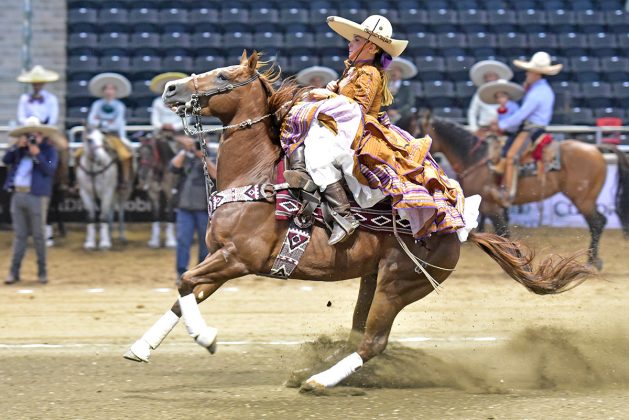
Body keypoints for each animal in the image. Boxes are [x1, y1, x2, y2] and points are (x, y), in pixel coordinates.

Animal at [124, 51, 592, 390]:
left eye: (223, 76)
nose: (171, 88)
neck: (255, 177)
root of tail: (460, 231)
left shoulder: (238, 259)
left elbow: (184, 281)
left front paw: (206, 339)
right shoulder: (220, 257)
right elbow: (184, 293)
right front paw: (141, 347)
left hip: (399, 284)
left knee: (373, 340)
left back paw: (318, 380)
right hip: (372, 279)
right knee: (359, 332)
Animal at [420, 115, 629, 270]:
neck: (475, 159)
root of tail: (595, 148)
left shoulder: (491, 205)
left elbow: (503, 232)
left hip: (582, 199)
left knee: (597, 222)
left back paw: (593, 261)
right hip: (586, 199)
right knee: (598, 222)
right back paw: (594, 260)